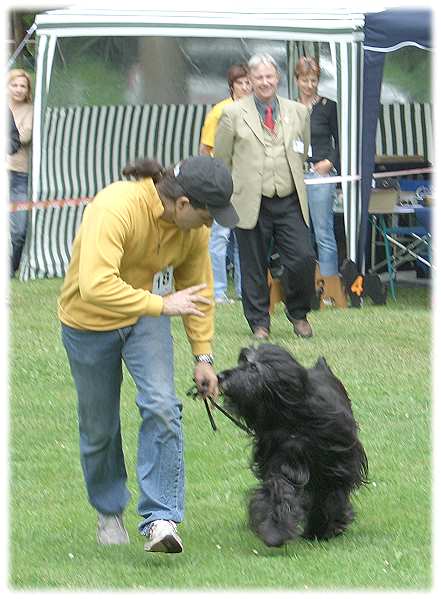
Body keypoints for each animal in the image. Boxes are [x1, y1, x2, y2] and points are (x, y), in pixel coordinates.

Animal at [217, 342, 368, 548]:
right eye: (241, 362)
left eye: (253, 367)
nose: (220, 376)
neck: (291, 416)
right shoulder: (279, 460)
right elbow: (278, 490)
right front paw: (274, 530)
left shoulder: (335, 467)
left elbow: (329, 495)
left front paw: (325, 528)